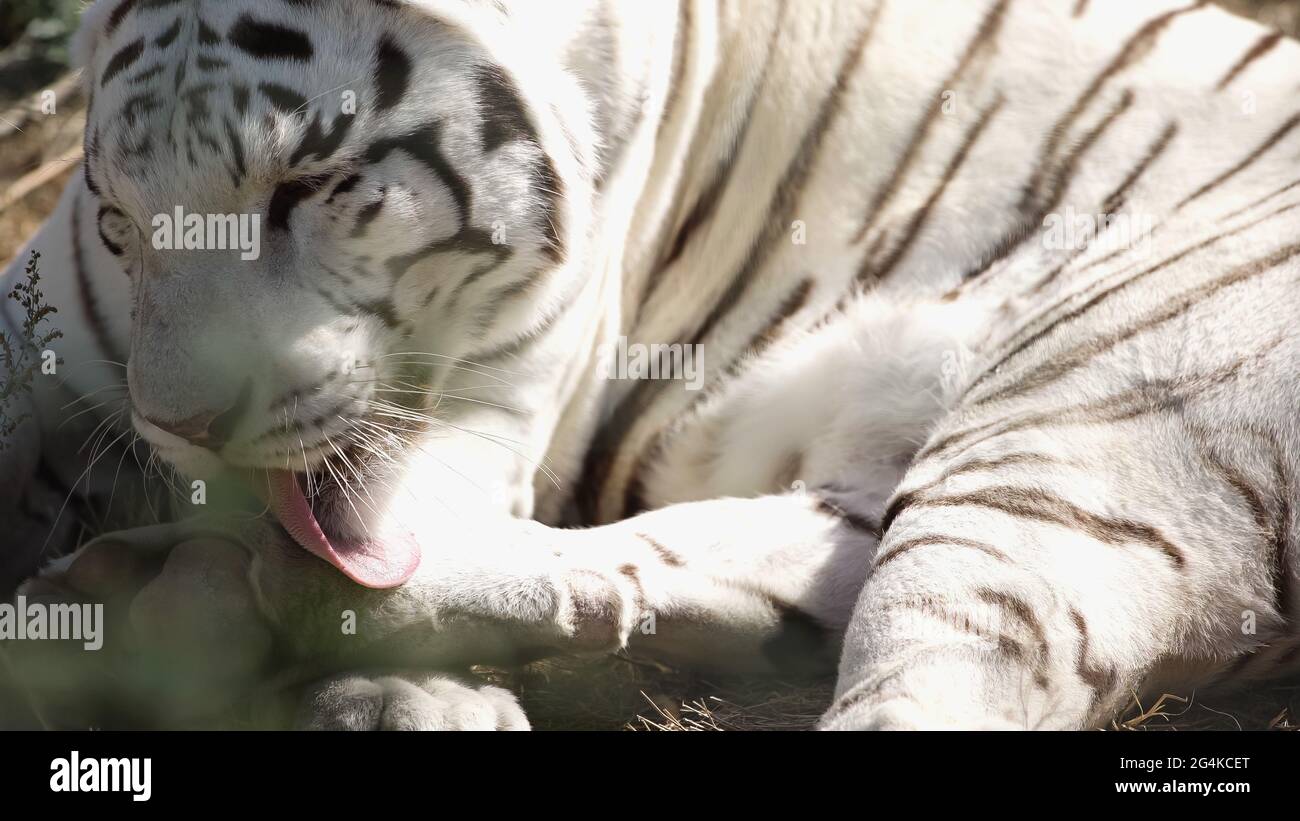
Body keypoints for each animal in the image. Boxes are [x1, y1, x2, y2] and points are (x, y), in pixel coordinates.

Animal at [3, 0, 1300, 730]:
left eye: (309, 186)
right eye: (118, 219)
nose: (185, 427)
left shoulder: (480, 410)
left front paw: (397, 699)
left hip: (1082, 412)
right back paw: (151, 591)